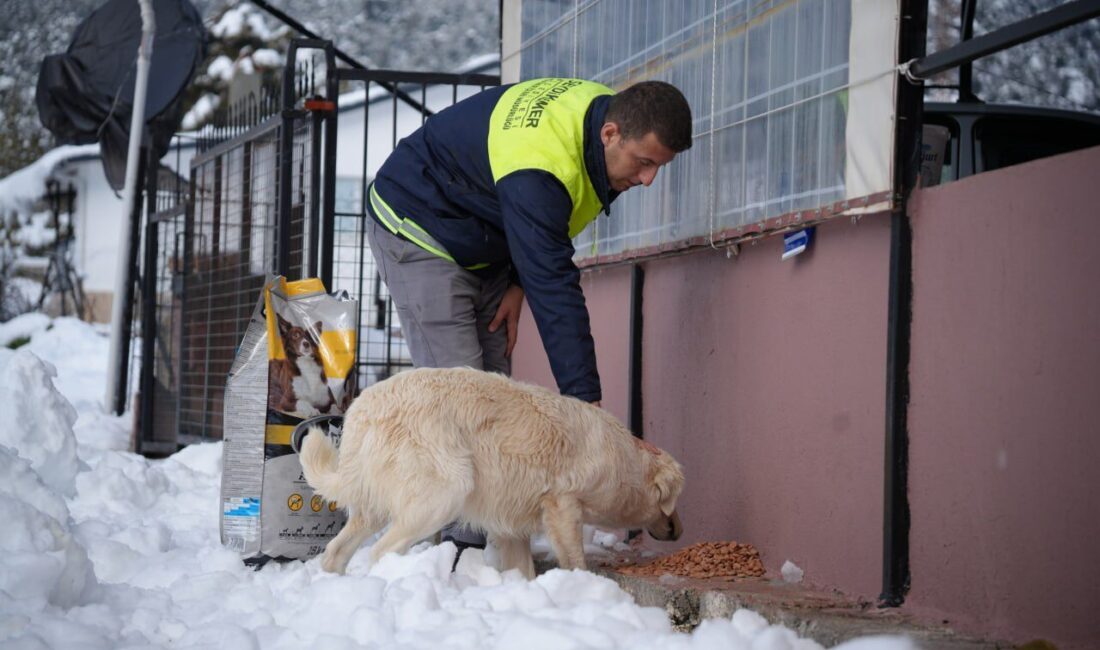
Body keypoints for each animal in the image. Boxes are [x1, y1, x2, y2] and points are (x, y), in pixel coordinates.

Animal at [297, 369, 682, 576]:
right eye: (676, 501)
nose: (678, 530)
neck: (625, 458)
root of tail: (361, 410)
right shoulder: (562, 505)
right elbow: (574, 558)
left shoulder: (511, 523)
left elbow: (521, 569)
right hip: (446, 491)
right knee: (380, 553)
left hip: (374, 505)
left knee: (336, 550)